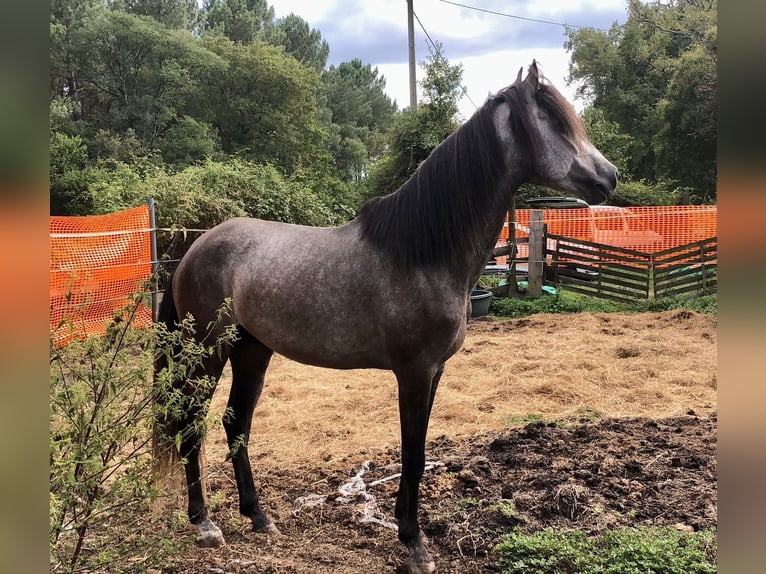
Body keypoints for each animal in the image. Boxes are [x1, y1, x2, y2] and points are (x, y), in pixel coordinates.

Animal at [154, 60, 616, 572]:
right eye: (553, 119)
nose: (610, 177)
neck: (422, 253)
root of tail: (193, 249)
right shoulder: (414, 371)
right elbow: (411, 454)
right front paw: (414, 544)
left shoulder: (434, 372)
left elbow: (418, 450)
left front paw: (405, 528)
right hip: (207, 354)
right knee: (190, 424)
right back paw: (204, 524)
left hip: (251, 351)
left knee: (236, 424)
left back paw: (258, 517)